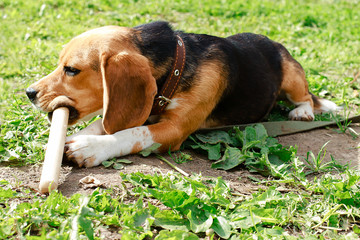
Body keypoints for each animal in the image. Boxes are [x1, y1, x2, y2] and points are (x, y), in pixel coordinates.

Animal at [26, 21, 338, 167]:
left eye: (71, 70)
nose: (29, 92)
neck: (175, 69)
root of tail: (271, 41)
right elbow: (106, 123)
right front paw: (75, 138)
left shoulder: (173, 130)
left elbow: (130, 133)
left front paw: (90, 147)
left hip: (291, 75)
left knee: (306, 96)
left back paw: (302, 112)